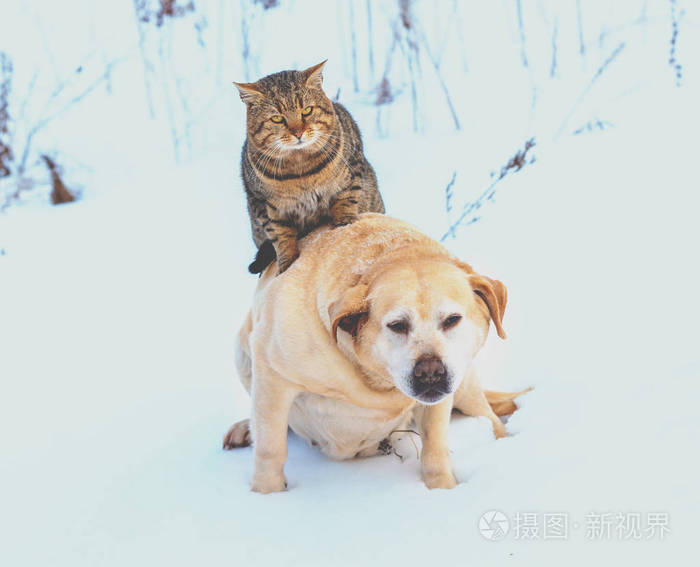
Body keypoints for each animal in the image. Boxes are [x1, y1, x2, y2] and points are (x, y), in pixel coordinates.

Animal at [227, 213, 528, 492]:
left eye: (452, 319)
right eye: (397, 325)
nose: (430, 372)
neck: (377, 383)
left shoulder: (439, 401)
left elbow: (435, 445)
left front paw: (442, 488)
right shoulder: (272, 376)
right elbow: (271, 447)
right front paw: (268, 494)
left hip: (465, 386)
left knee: (489, 417)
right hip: (242, 353)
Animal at [234, 61, 382, 274]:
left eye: (307, 111)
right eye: (277, 118)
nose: (298, 132)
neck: (301, 170)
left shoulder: (354, 165)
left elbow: (346, 199)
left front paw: (344, 221)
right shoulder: (261, 202)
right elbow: (280, 234)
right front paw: (287, 261)